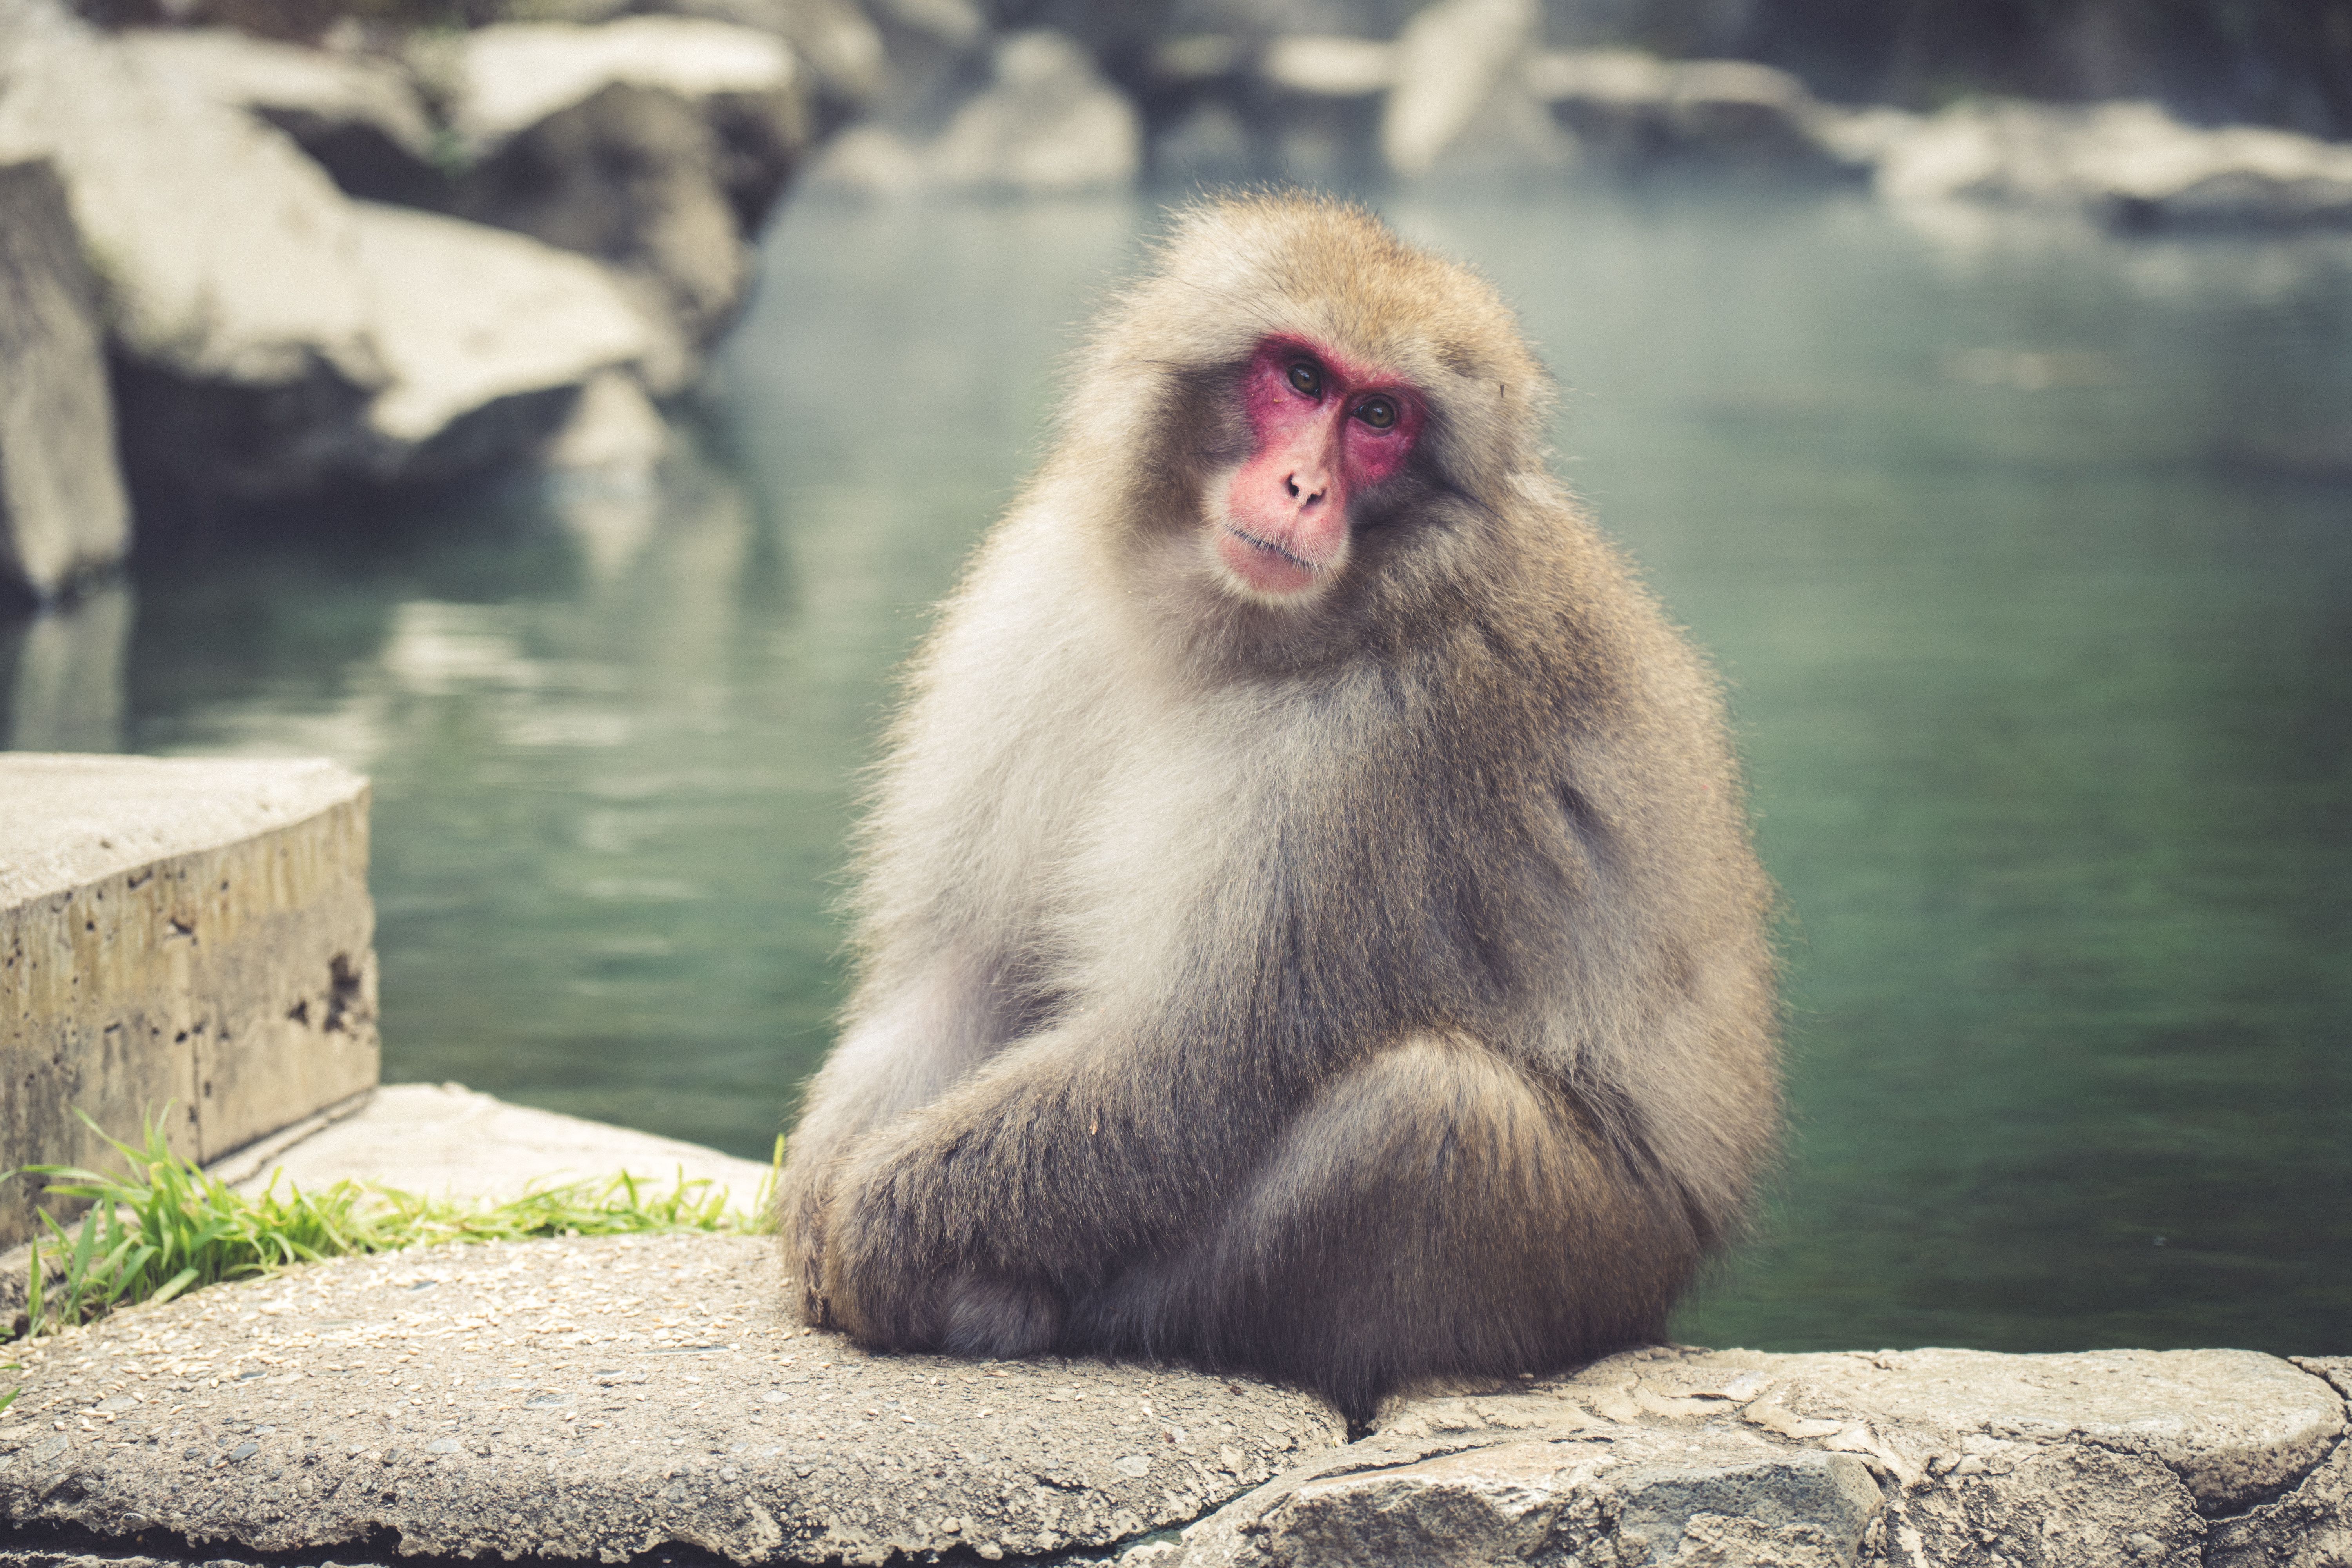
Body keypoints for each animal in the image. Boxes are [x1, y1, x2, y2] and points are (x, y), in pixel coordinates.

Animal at [776, 192, 1778, 1423]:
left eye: (1382, 416)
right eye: (1302, 378)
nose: (1304, 488)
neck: (1216, 628)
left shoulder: (1394, 743)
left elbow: (1186, 1063)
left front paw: (876, 1234)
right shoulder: (1038, 601)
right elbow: (967, 967)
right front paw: (819, 1195)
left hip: (1584, 1262)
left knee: (1427, 1108)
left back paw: (1033, 1310)